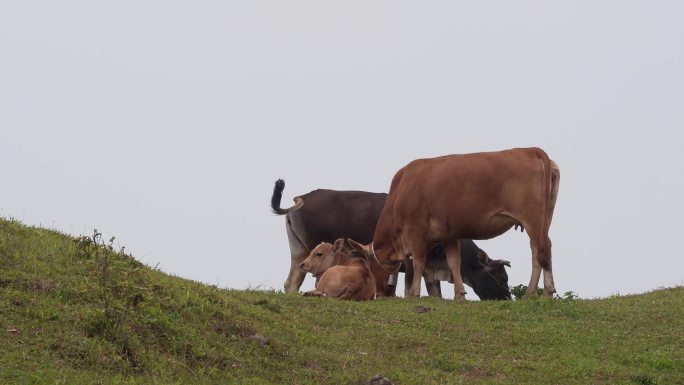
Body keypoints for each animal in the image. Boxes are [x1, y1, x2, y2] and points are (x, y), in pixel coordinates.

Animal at [270, 178, 510, 298]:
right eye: (502, 279)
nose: (508, 298)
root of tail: (302, 198)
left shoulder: (431, 271)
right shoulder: (412, 260)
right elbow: (408, 288)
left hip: (300, 253)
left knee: (291, 282)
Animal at [356, 147, 560, 300]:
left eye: (371, 269)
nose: (378, 294)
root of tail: (531, 150)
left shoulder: (416, 230)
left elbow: (419, 263)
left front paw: (414, 293)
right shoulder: (448, 235)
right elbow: (454, 262)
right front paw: (459, 295)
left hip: (532, 218)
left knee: (542, 249)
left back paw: (544, 293)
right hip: (545, 218)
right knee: (538, 251)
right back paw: (532, 293)